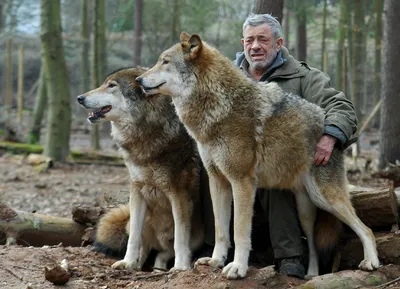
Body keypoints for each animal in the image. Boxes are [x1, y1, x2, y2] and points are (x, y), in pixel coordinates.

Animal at [77, 67, 205, 270]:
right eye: (105, 83)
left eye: (111, 85)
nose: (80, 98)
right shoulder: (137, 190)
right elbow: (134, 239)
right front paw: (127, 262)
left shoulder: (179, 195)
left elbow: (180, 239)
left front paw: (181, 267)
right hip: (134, 221)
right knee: (146, 247)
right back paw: (136, 265)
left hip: (197, 236)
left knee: (165, 251)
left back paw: (161, 267)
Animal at [136, 32, 380, 278]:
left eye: (165, 61)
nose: (138, 80)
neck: (219, 106)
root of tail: (328, 124)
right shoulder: (218, 180)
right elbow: (221, 230)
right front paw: (215, 261)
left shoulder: (242, 182)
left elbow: (240, 231)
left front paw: (238, 267)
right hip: (306, 209)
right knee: (311, 244)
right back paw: (311, 274)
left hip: (326, 198)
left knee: (366, 229)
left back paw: (370, 262)